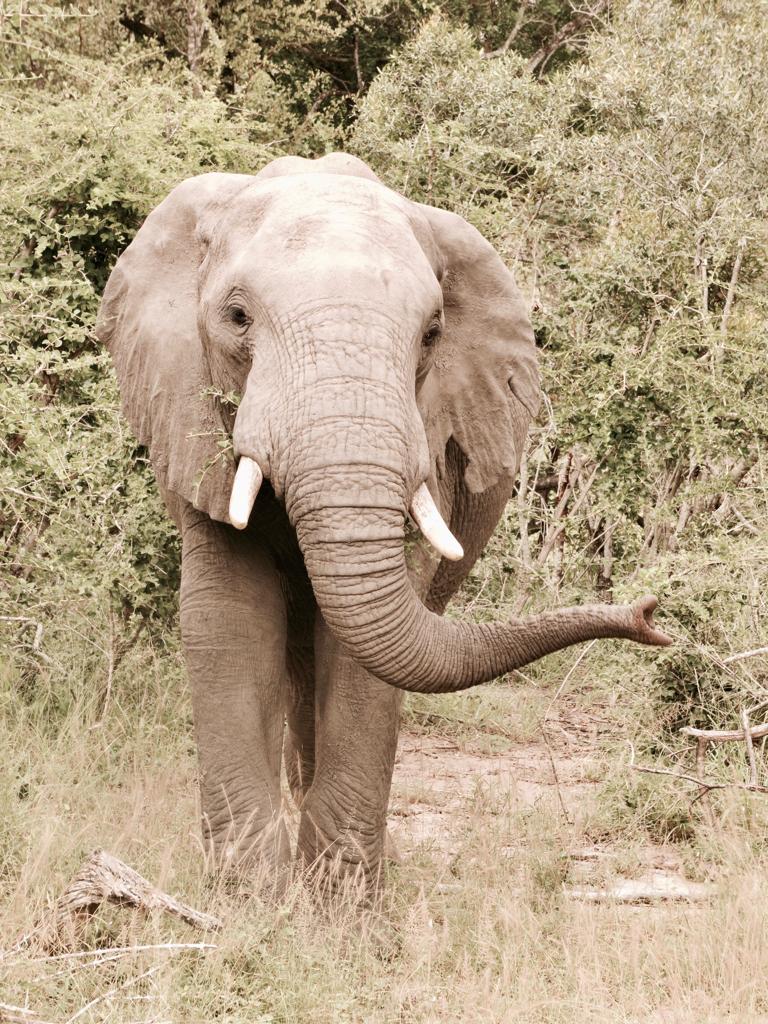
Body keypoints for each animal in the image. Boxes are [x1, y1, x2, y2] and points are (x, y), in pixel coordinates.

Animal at [97, 152, 670, 896]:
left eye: (432, 334)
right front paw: (252, 898)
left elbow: (366, 653)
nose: (649, 612)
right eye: (236, 317)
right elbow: (227, 617)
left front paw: (338, 906)